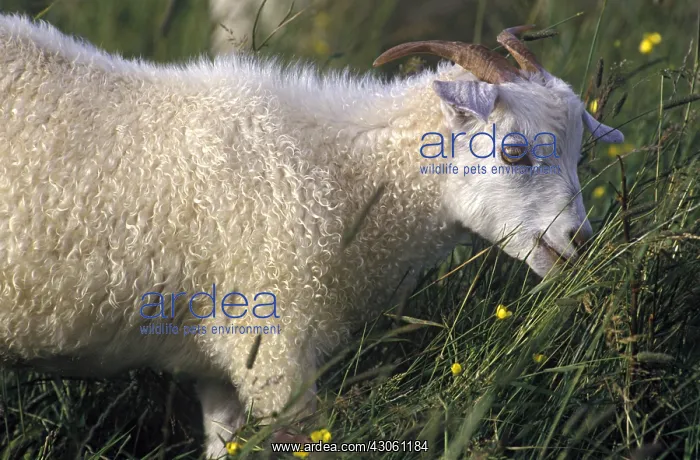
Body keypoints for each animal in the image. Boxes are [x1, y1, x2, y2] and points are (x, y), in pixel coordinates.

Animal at [0, 15, 623, 457]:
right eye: (513, 151)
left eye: (579, 153)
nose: (578, 241)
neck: (339, 174)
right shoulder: (275, 351)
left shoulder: (223, 363)